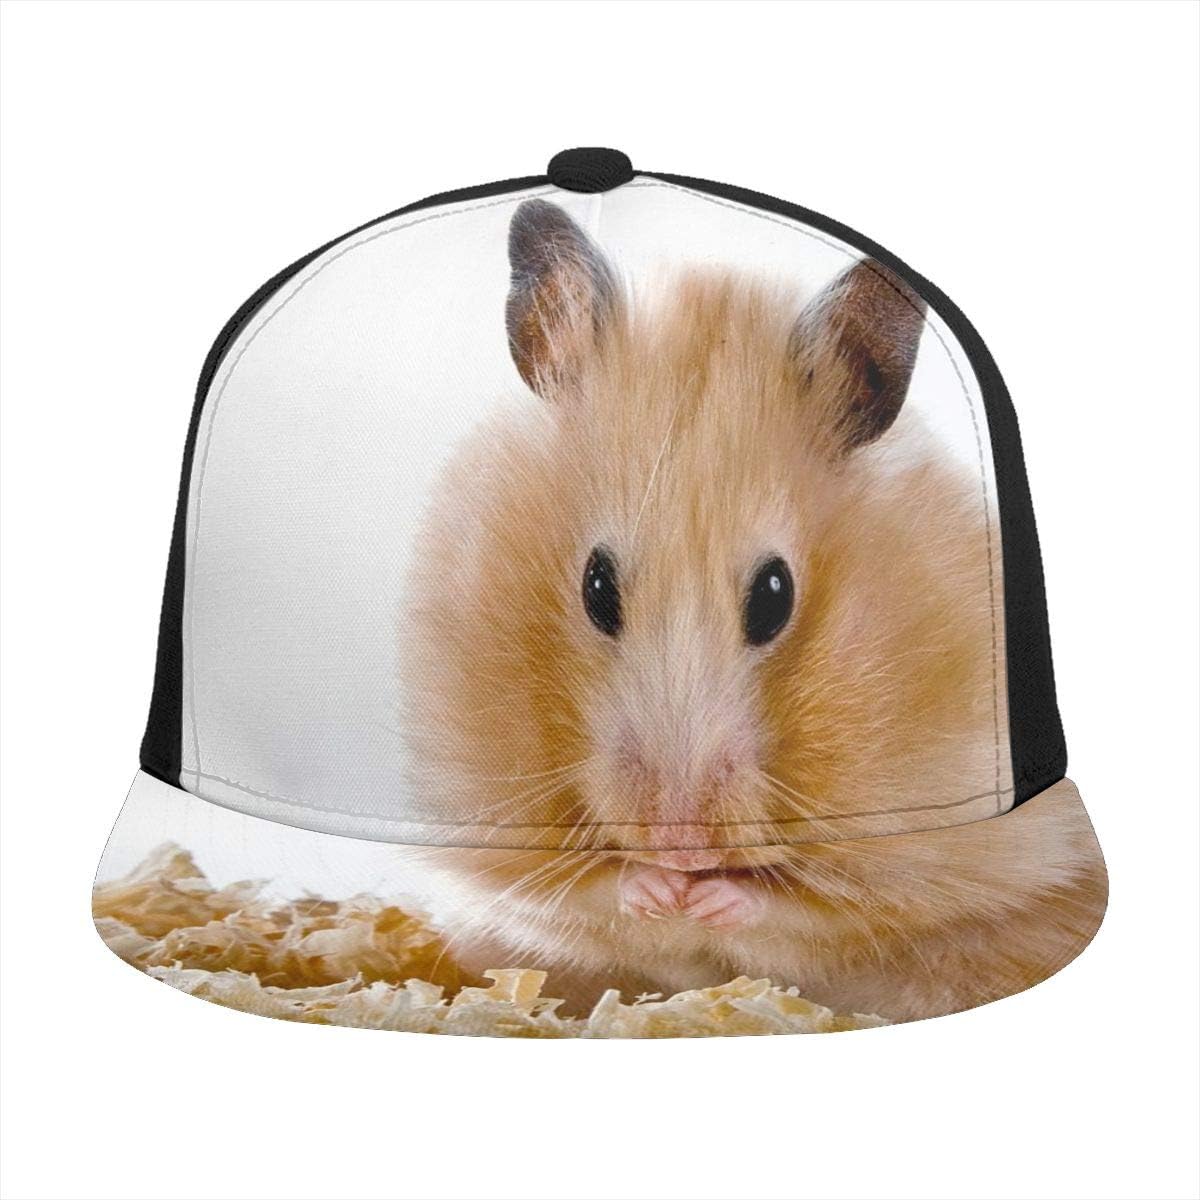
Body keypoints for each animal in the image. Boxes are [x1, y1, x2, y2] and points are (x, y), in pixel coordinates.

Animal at [397, 199, 1106, 1020]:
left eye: (776, 595)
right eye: (595, 587)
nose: (682, 845)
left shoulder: (945, 851)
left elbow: (815, 907)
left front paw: (708, 899)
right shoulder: (490, 841)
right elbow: (582, 889)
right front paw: (661, 892)